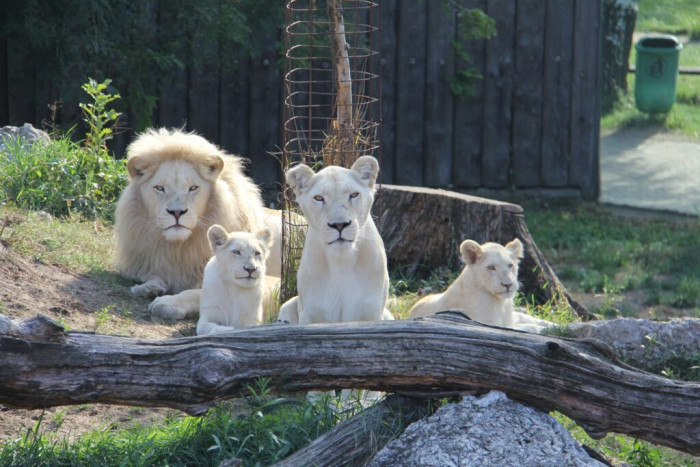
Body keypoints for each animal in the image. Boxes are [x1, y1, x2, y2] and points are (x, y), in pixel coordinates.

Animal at [113, 127, 280, 318]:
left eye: (193, 188)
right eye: (160, 188)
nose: (177, 212)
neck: (179, 248)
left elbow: (197, 293)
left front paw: (167, 303)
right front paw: (149, 287)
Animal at [278, 157, 392, 326]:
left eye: (354, 194)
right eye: (319, 198)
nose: (339, 225)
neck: (341, 261)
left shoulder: (372, 313)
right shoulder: (310, 315)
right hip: (287, 306)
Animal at [410, 238, 552, 332]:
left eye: (510, 265)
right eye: (491, 267)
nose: (508, 284)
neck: (501, 305)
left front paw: (552, 327)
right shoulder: (488, 324)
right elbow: (528, 329)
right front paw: (544, 330)